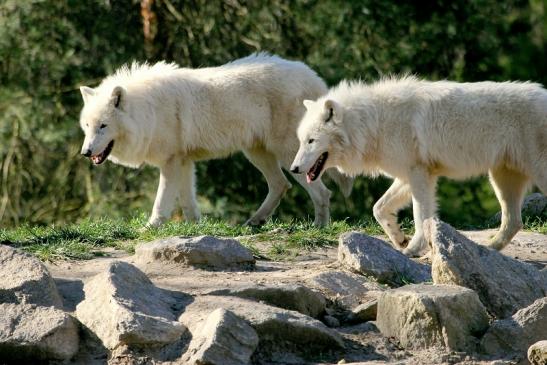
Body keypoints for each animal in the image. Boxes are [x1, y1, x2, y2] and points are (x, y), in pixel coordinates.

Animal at [292, 75, 547, 255]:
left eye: (311, 141)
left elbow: (420, 215)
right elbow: (378, 208)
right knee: (514, 221)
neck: (374, 123)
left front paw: (414, 248)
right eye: (301, 140)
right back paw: (489, 249)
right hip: (501, 179)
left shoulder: (418, 173)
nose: (294, 169)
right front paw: (399, 239)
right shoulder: (408, 175)